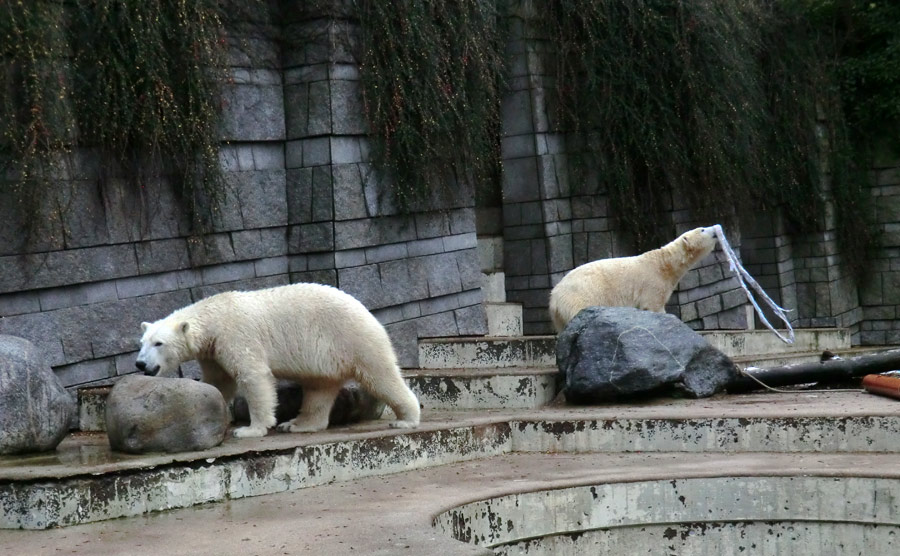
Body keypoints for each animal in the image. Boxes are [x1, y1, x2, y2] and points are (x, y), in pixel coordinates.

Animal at [134, 284, 422, 436]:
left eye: (158, 343)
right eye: (142, 343)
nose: (140, 364)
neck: (214, 316)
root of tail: (366, 310)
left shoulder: (236, 335)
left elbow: (253, 376)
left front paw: (249, 429)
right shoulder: (213, 351)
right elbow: (219, 382)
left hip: (352, 338)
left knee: (380, 375)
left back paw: (406, 419)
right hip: (325, 357)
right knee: (318, 390)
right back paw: (296, 424)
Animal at [548, 225, 716, 332]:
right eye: (702, 229)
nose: (715, 229)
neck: (664, 264)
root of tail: (554, 295)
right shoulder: (653, 283)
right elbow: (654, 306)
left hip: (559, 316)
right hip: (581, 296)